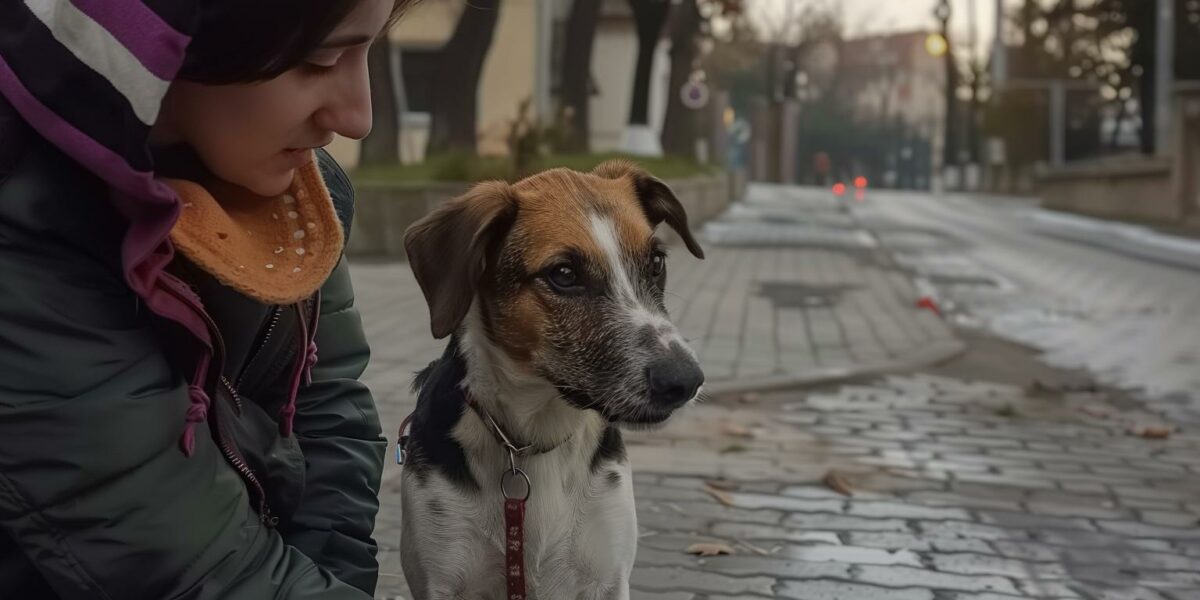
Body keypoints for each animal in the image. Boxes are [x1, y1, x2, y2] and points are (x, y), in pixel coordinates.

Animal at [398, 160, 705, 600]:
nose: (685, 381)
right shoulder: (441, 576)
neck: (535, 436)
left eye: (657, 262)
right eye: (563, 274)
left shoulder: (608, 577)